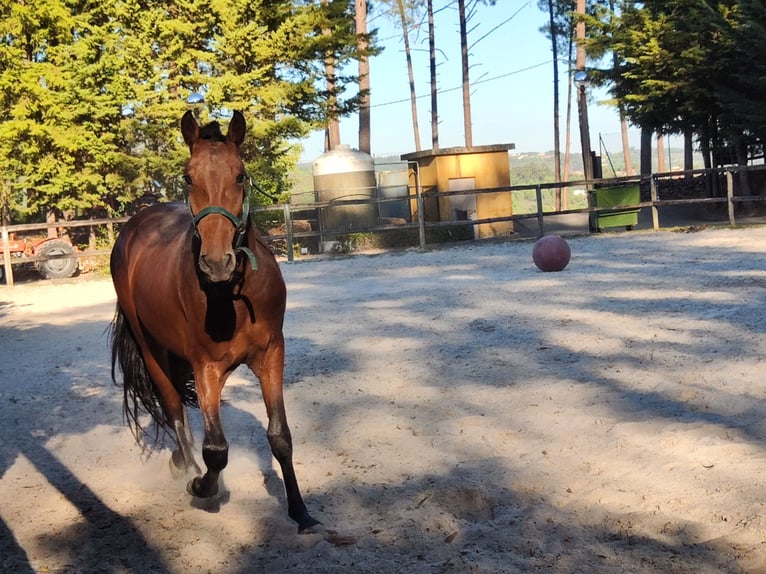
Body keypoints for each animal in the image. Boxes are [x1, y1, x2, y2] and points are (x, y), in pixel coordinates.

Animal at [109, 110, 320, 533]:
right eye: (189, 177)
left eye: (240, 175)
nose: (217, 262)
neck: (232, 296)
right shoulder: (205, 367)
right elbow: (217, 449)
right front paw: (202, 487)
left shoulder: (271, 355)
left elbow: (280, 436)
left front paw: (300, 511)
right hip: (150, 347)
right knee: (173, 404)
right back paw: (186, 466)